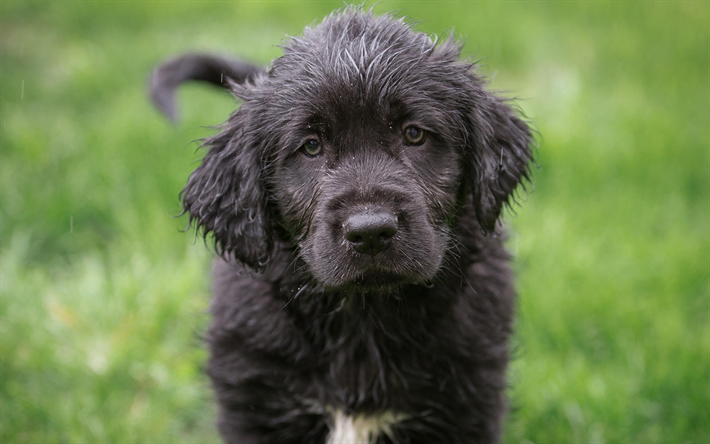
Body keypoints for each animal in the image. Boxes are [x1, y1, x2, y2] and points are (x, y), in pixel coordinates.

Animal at [153, 7, 536, 444]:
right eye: (311, 147)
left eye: (414, 134)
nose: (370, 232)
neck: (363, 315)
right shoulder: (254, 399)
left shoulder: (466, 402)